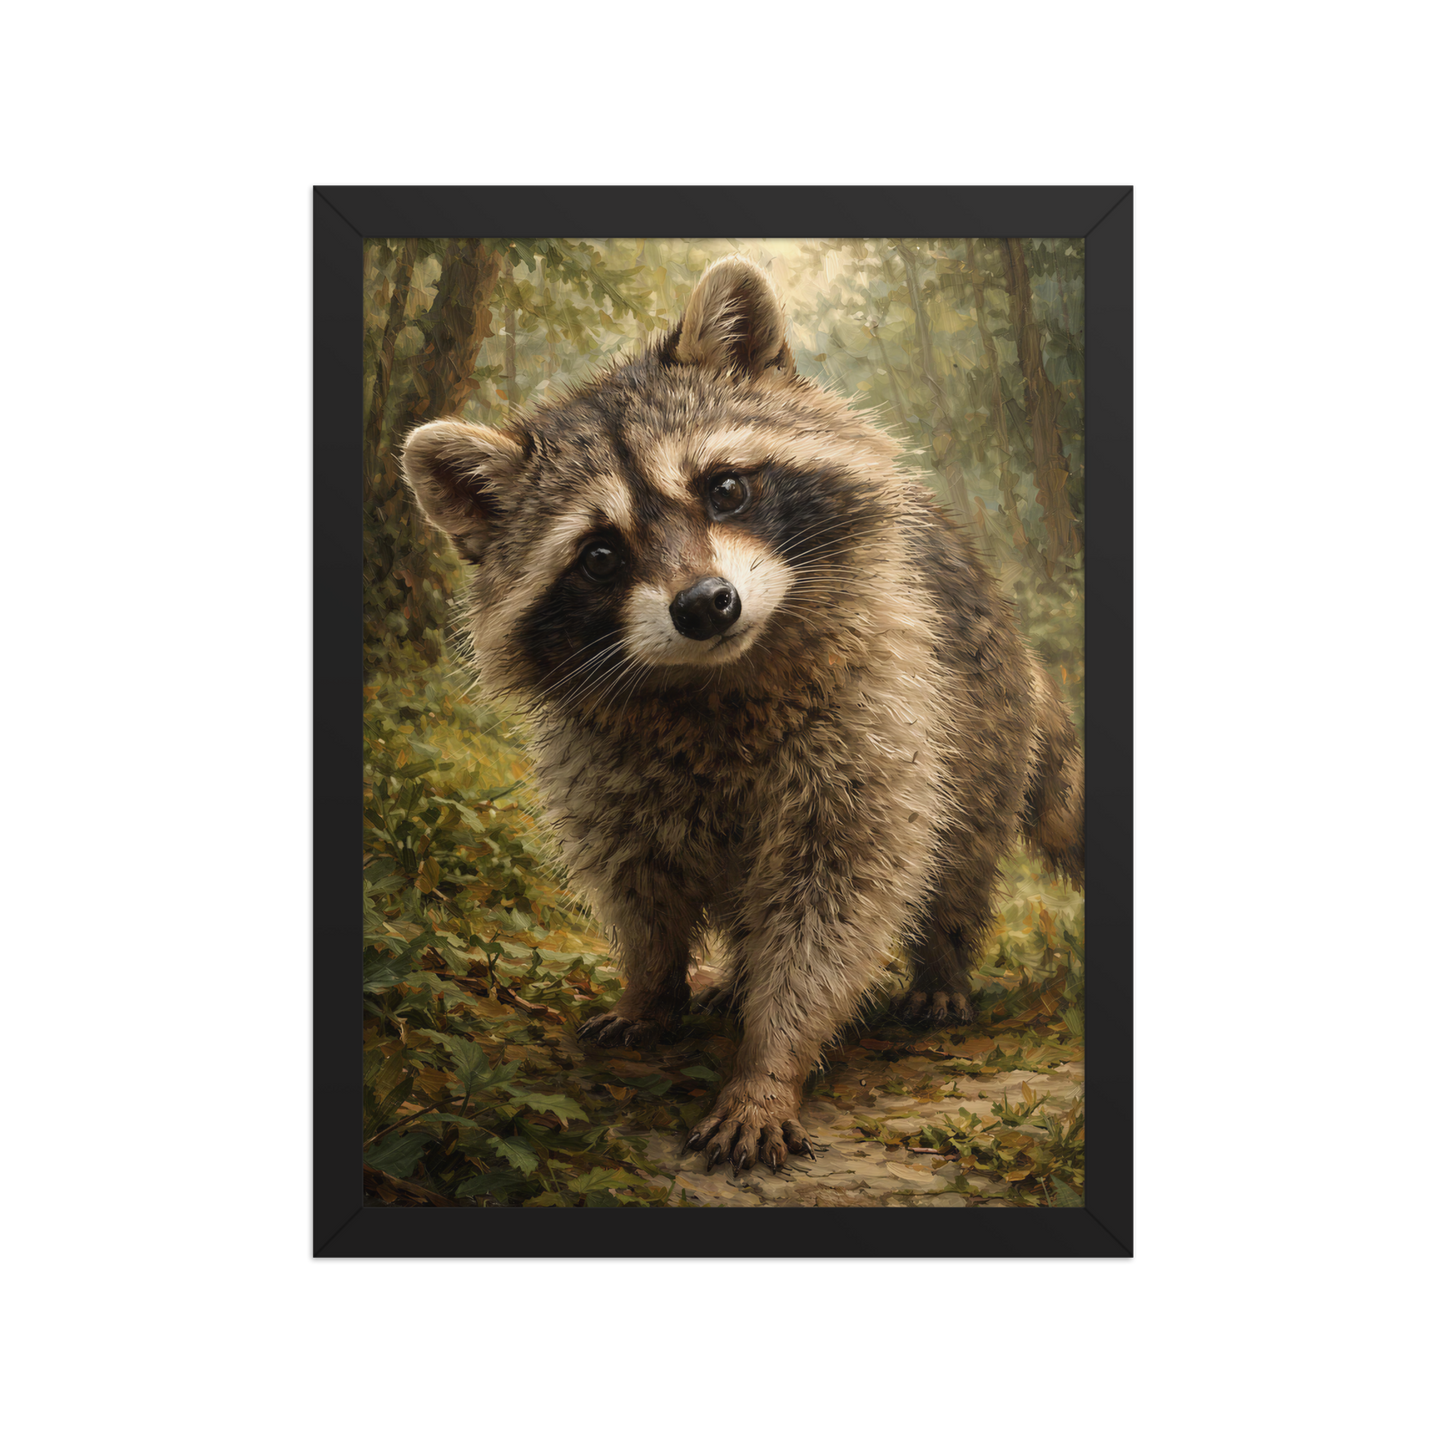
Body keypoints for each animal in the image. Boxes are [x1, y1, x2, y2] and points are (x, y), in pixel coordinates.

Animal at [400, 255, 1083, 1176]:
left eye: (724, 488)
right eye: (599, 554)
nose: (704, 605)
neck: (713, 681)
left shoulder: (875, 717)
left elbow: (835, 902)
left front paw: (769, 1062)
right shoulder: (599, 765)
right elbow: (637, 885)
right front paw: (651, 986)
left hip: (979, 722)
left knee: (958, 856)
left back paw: (940, 963)